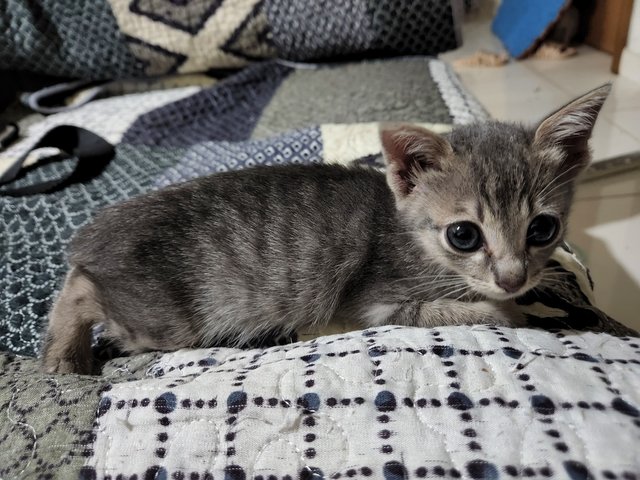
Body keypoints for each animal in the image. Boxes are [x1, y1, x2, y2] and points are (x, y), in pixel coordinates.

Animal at [41, 84, 608, 376]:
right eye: (464, 235)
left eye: (543, 228)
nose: (513, 278)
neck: (413, 238)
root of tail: (93, 233)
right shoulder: (373, 302)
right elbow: (469, 310)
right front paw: (510, 309)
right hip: (164, 326)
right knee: (81, 287)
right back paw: (65, 354)